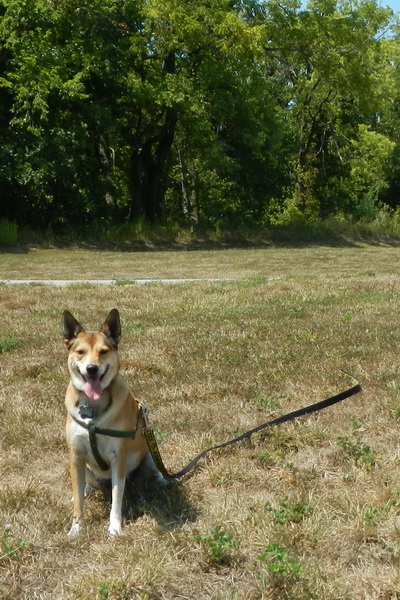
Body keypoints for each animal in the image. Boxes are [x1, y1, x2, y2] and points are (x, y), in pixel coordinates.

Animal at [63, 310, 162, 536]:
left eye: (104, 351)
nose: (92, 369)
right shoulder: (75, 455)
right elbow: (79, 501)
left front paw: (115, 528)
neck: (93, 406)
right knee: (85, 483)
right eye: (80, 352)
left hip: (149, 454)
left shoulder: (119, 458)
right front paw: (76, 528)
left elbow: (117, 498)